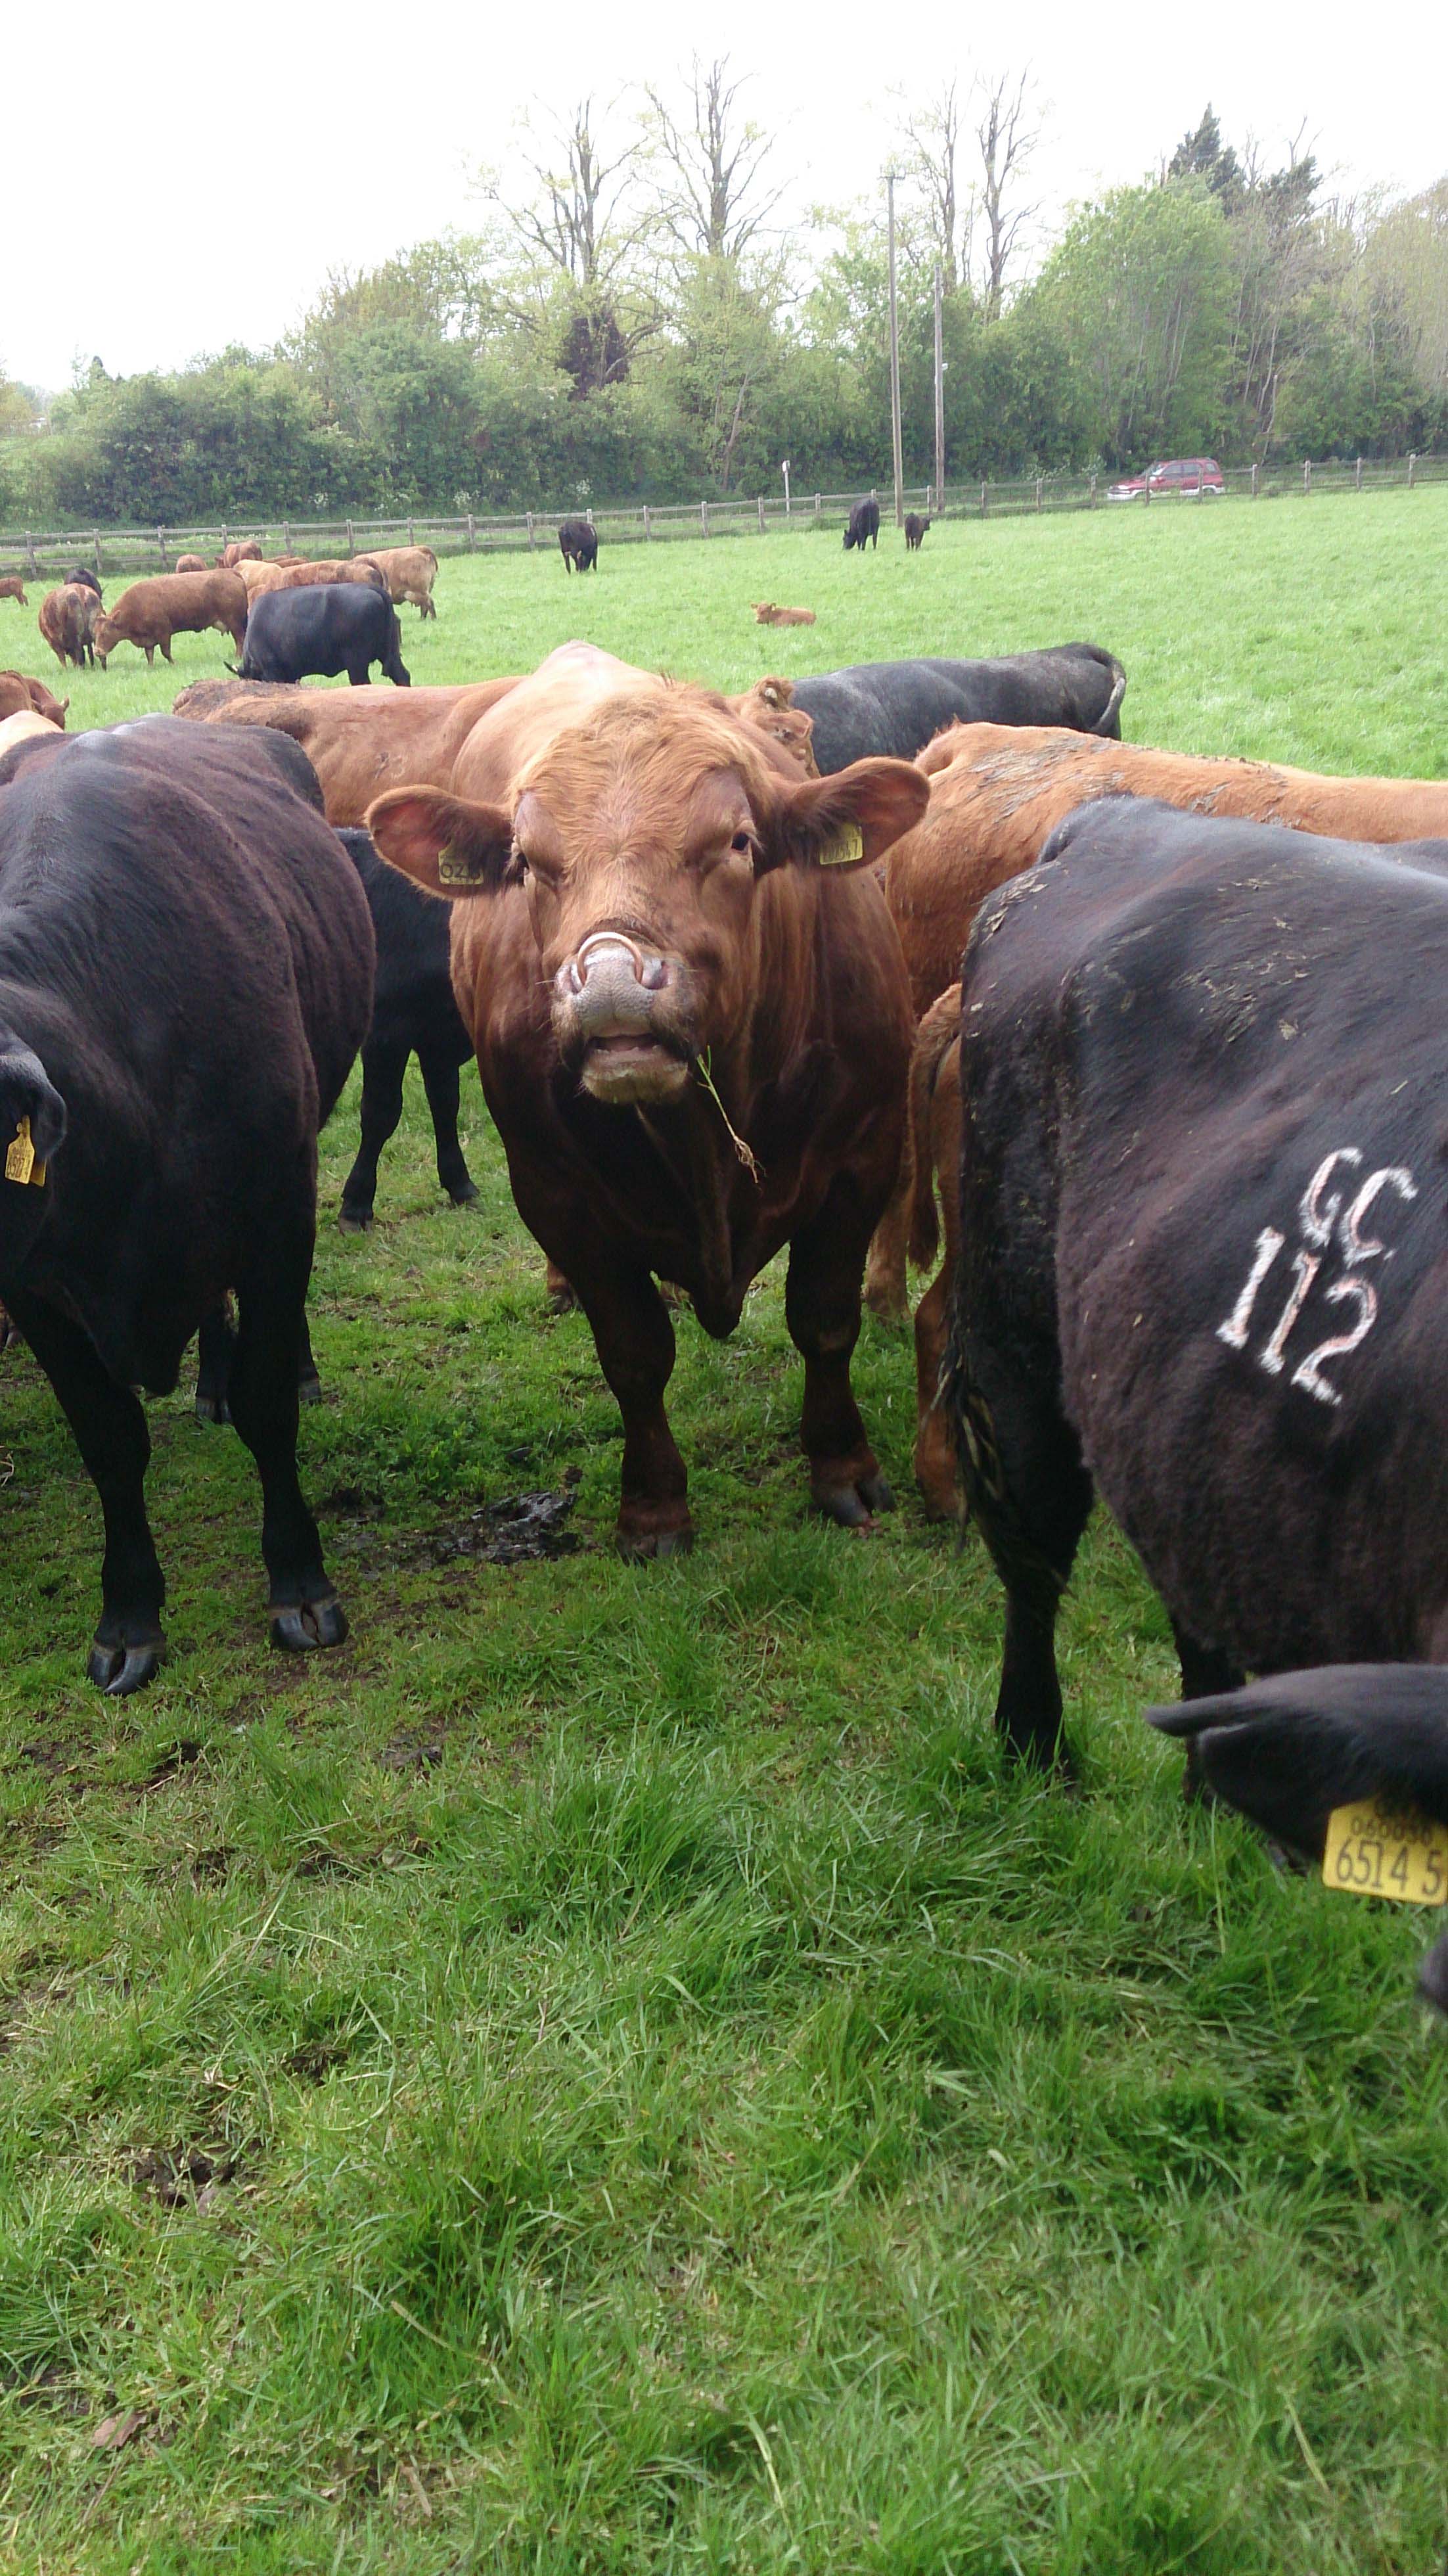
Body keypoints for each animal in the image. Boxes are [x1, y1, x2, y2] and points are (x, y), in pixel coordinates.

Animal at [0, 716, 374, 1691]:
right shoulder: (35, 1288)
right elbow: (108, 1437)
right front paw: (129, 1615)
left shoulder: (280, 1214)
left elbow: (268, 1397)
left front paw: (298, 1583)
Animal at [93, 571, 249, 668]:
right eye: (95, 634)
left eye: (105, 633)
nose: (97, 652)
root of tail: (231, 572)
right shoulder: (148, 639)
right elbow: (149, 654)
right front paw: (151, 667)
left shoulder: (164, 633)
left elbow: (166, 652)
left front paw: (174, 663)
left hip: (234, 623)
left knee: (240, 640)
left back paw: (238, 656)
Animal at [334, 826, 478, 1231]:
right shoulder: (387, 1031)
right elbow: (381, 1112)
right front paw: (356, 1204)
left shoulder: (438, 1036)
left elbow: (446, 1104)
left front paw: (460, 1184)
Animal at [364, 673, 928, 1555]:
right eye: (527, 861)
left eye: (737, 842)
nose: (609, 981)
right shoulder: (559, 1197)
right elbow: (632, 1355)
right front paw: (654, 1507)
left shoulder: (859, 1160)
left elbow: (824, 1320)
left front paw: (842, 1466)